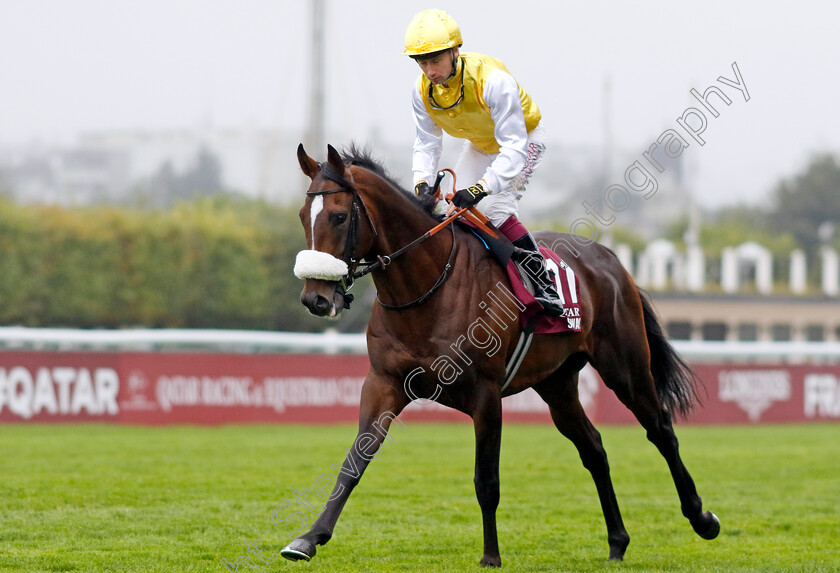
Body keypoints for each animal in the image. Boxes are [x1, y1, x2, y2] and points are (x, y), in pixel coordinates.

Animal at [286, 144, 720, 568]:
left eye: (340, 216)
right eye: (303, 217)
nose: (315, 298)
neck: (427, 289)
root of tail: (613, 262)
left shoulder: (486, 393)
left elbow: (487, 480)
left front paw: (491, 556)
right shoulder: (384, 383)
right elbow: (354, 463)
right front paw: (309, 538)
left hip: (625, 368)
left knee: (661, 431)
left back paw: (702, 518)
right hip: (557, 384)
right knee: (594, 449)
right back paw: (617, 541)